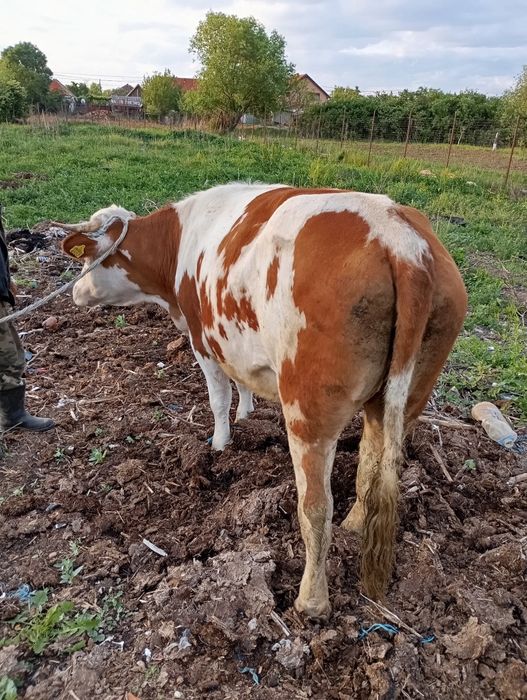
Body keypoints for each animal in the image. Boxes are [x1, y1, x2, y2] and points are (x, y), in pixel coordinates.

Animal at [59, 183, 467, 618]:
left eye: (87, 259)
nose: (75, 292)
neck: (180, 241)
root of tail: (401, 242)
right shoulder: (233, 343)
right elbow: (242, 384)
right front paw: (247, 414)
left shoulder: (203, 339)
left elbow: (218, 397)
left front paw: (220, 444)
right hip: (404, 396)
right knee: (370, 467)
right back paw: (355, 522)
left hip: (309, 408)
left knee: (316, 508)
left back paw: (311, 601)